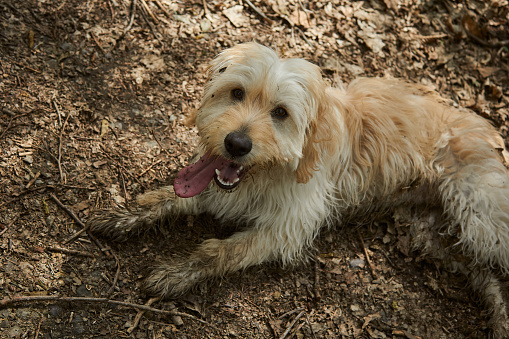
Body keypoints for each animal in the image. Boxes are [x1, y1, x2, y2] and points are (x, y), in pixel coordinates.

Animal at [89, 43, 508, 338]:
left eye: (280, 113)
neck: (270, 172)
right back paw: (497, 315)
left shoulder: (287, 228)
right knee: (484, 273)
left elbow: (219, 251)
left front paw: (176, 273)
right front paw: (124, 215)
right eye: (236, 93)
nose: (236, 144)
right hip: (432, 235)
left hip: (478, 217)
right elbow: (168, 198)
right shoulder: (219, 187)